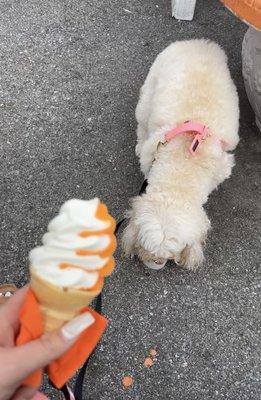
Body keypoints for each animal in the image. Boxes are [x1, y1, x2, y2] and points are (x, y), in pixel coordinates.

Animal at [122, 39, 238, 272]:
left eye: (169, 254)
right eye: (148, 250)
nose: (155, 263)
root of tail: (199, 42)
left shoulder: (223, 166)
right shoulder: (153, 152)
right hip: (150, 88)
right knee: (142, 122)